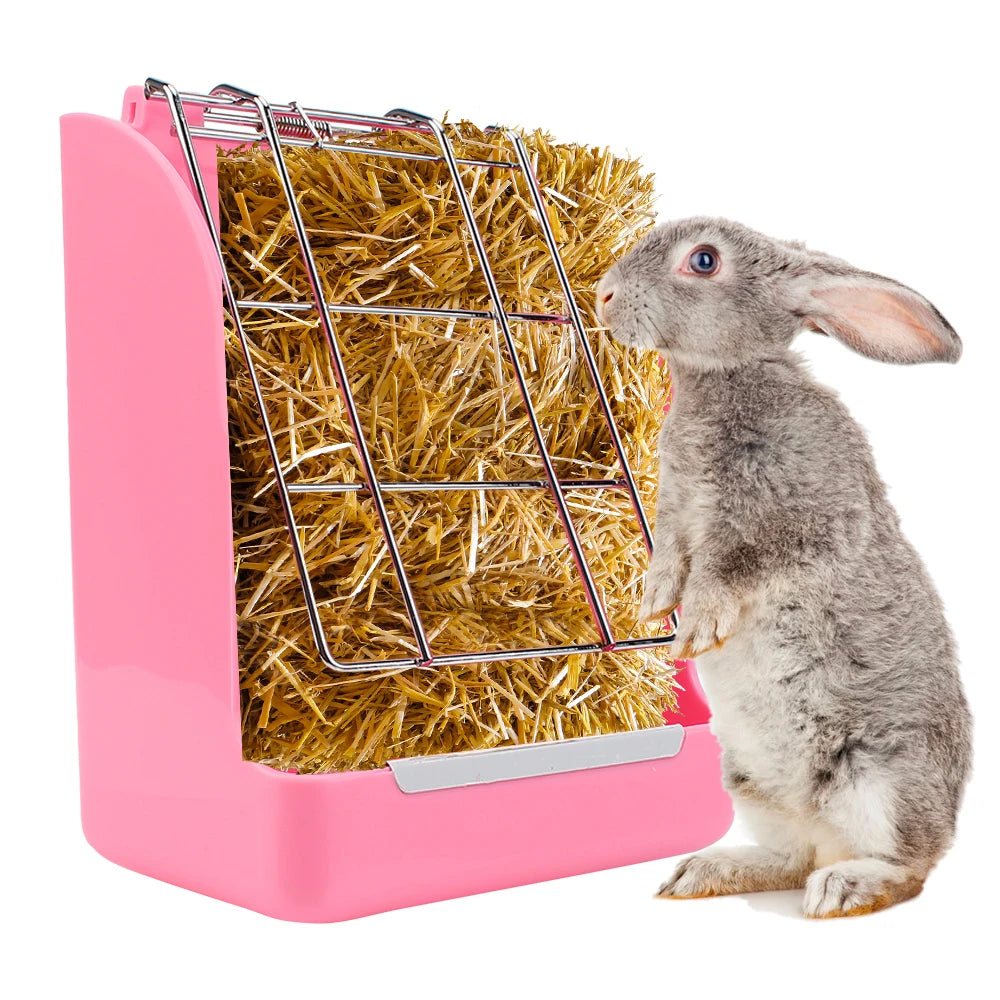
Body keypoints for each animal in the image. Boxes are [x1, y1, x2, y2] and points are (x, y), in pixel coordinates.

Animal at [595, 217, 972, 918]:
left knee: (908, 867)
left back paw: (844, 888)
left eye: (704, 261)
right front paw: (654, 604)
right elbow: (670, 554)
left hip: (880, 777)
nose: (603, 296)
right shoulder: (676, 512)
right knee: (791, 858)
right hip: (749, 783)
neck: (726, 376)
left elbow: (733, 566)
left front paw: (698, 626)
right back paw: (704, 873)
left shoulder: (792, 519)